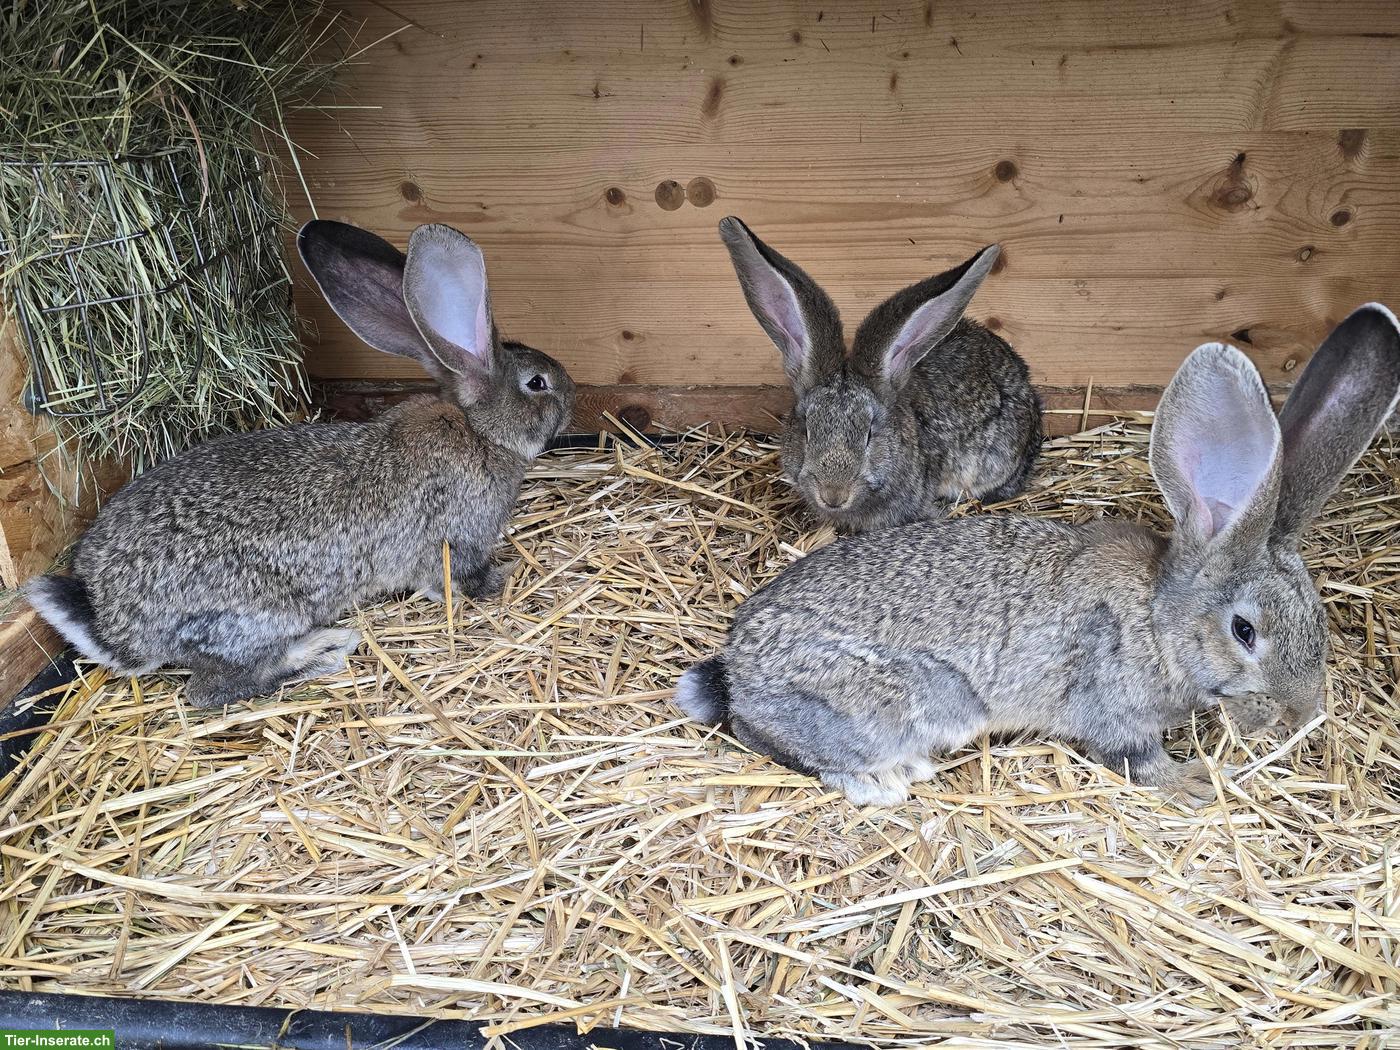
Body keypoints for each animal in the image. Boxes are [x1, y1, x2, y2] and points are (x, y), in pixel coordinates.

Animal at [26, 220, 575, 709]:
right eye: (537, 383)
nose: (571, 398)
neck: (480, 431)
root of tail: (114, 625)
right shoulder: (456, 542)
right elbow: (460, 582)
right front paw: (504, 578)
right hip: (256, 616)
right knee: (211, 689)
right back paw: (322, 651)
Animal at [678, 303, 1400, 807]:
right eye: (1244, 631)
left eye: (1319, 621)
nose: (1300, 715)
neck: (1159, 621)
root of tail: (737, 671)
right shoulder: (1112, 705)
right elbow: (1135, 758)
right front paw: (1191, 781)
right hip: (916, 701)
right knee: (776, 739)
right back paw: (886, 779)